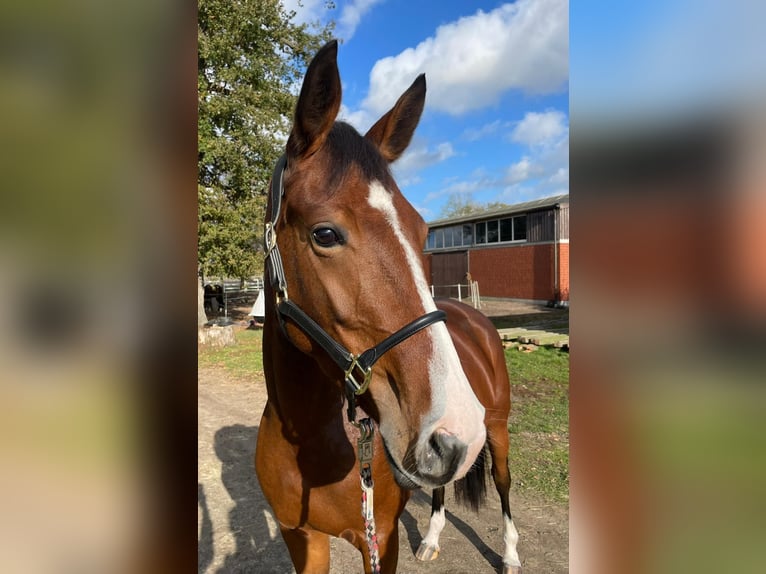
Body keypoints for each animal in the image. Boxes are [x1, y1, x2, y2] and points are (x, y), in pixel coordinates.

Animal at [255, 41, 524, 574]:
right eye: (325, 234)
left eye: (422, 231)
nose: (455, 427)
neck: (309, 439)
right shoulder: (301, 538)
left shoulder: (381, 538)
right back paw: (434, 537)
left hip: (498, 430)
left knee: (503, 484)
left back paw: (509, 553)